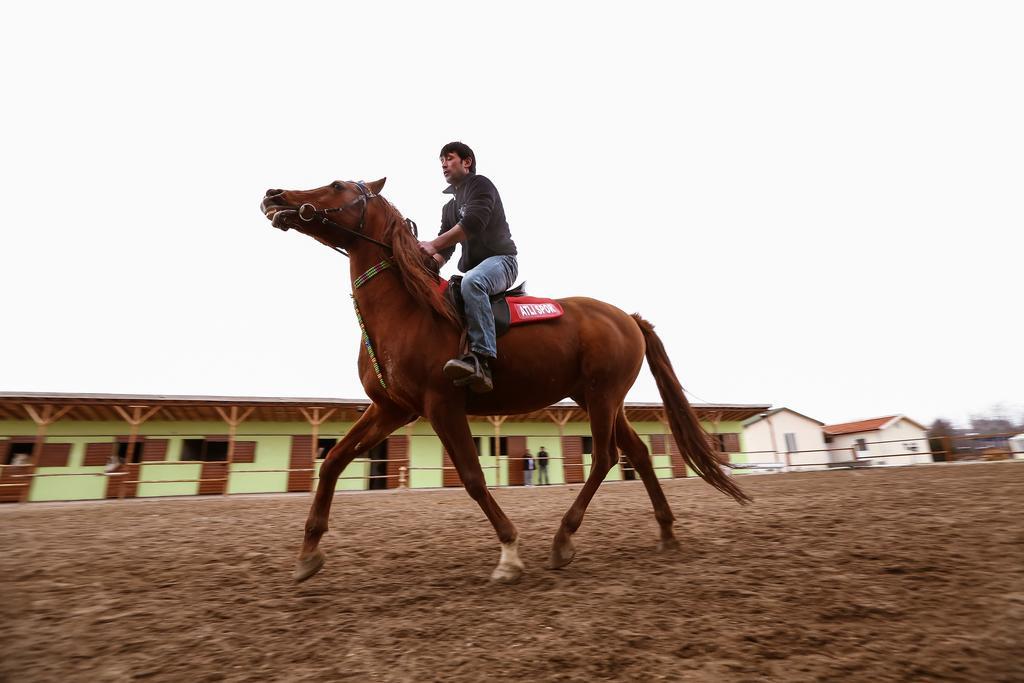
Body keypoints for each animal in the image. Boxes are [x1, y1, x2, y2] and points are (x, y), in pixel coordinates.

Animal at [260, 179, 749, 585]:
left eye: (336, 184)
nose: (274, 195)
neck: (407, 310)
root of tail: (627, 317)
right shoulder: (391, 409)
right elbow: (333, 461)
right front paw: (307, 554)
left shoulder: (441, 406)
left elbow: (473, 479)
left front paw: (510, 554)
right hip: (598, 399)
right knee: (640, 454)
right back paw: (665, 532)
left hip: (603, 396)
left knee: (606, 457)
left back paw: (563, 540)